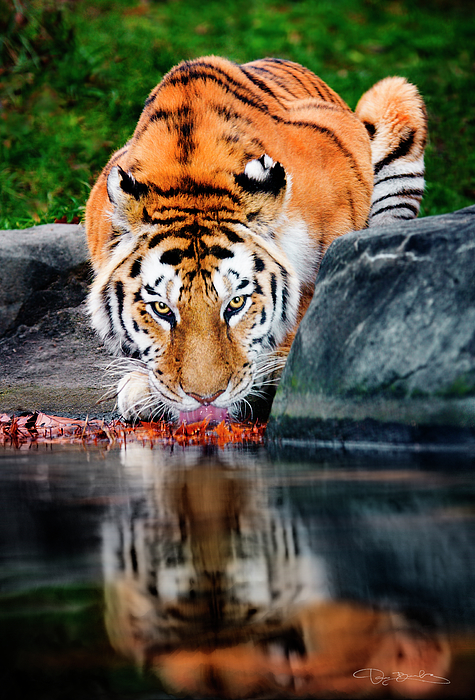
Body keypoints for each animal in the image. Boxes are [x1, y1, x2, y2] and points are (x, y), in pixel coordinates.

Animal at [86, 56, 428, 422]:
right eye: (162, 309)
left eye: (237, 303)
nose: (205, 398)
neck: (191, 179)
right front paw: (142, 388)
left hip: (394, 97)